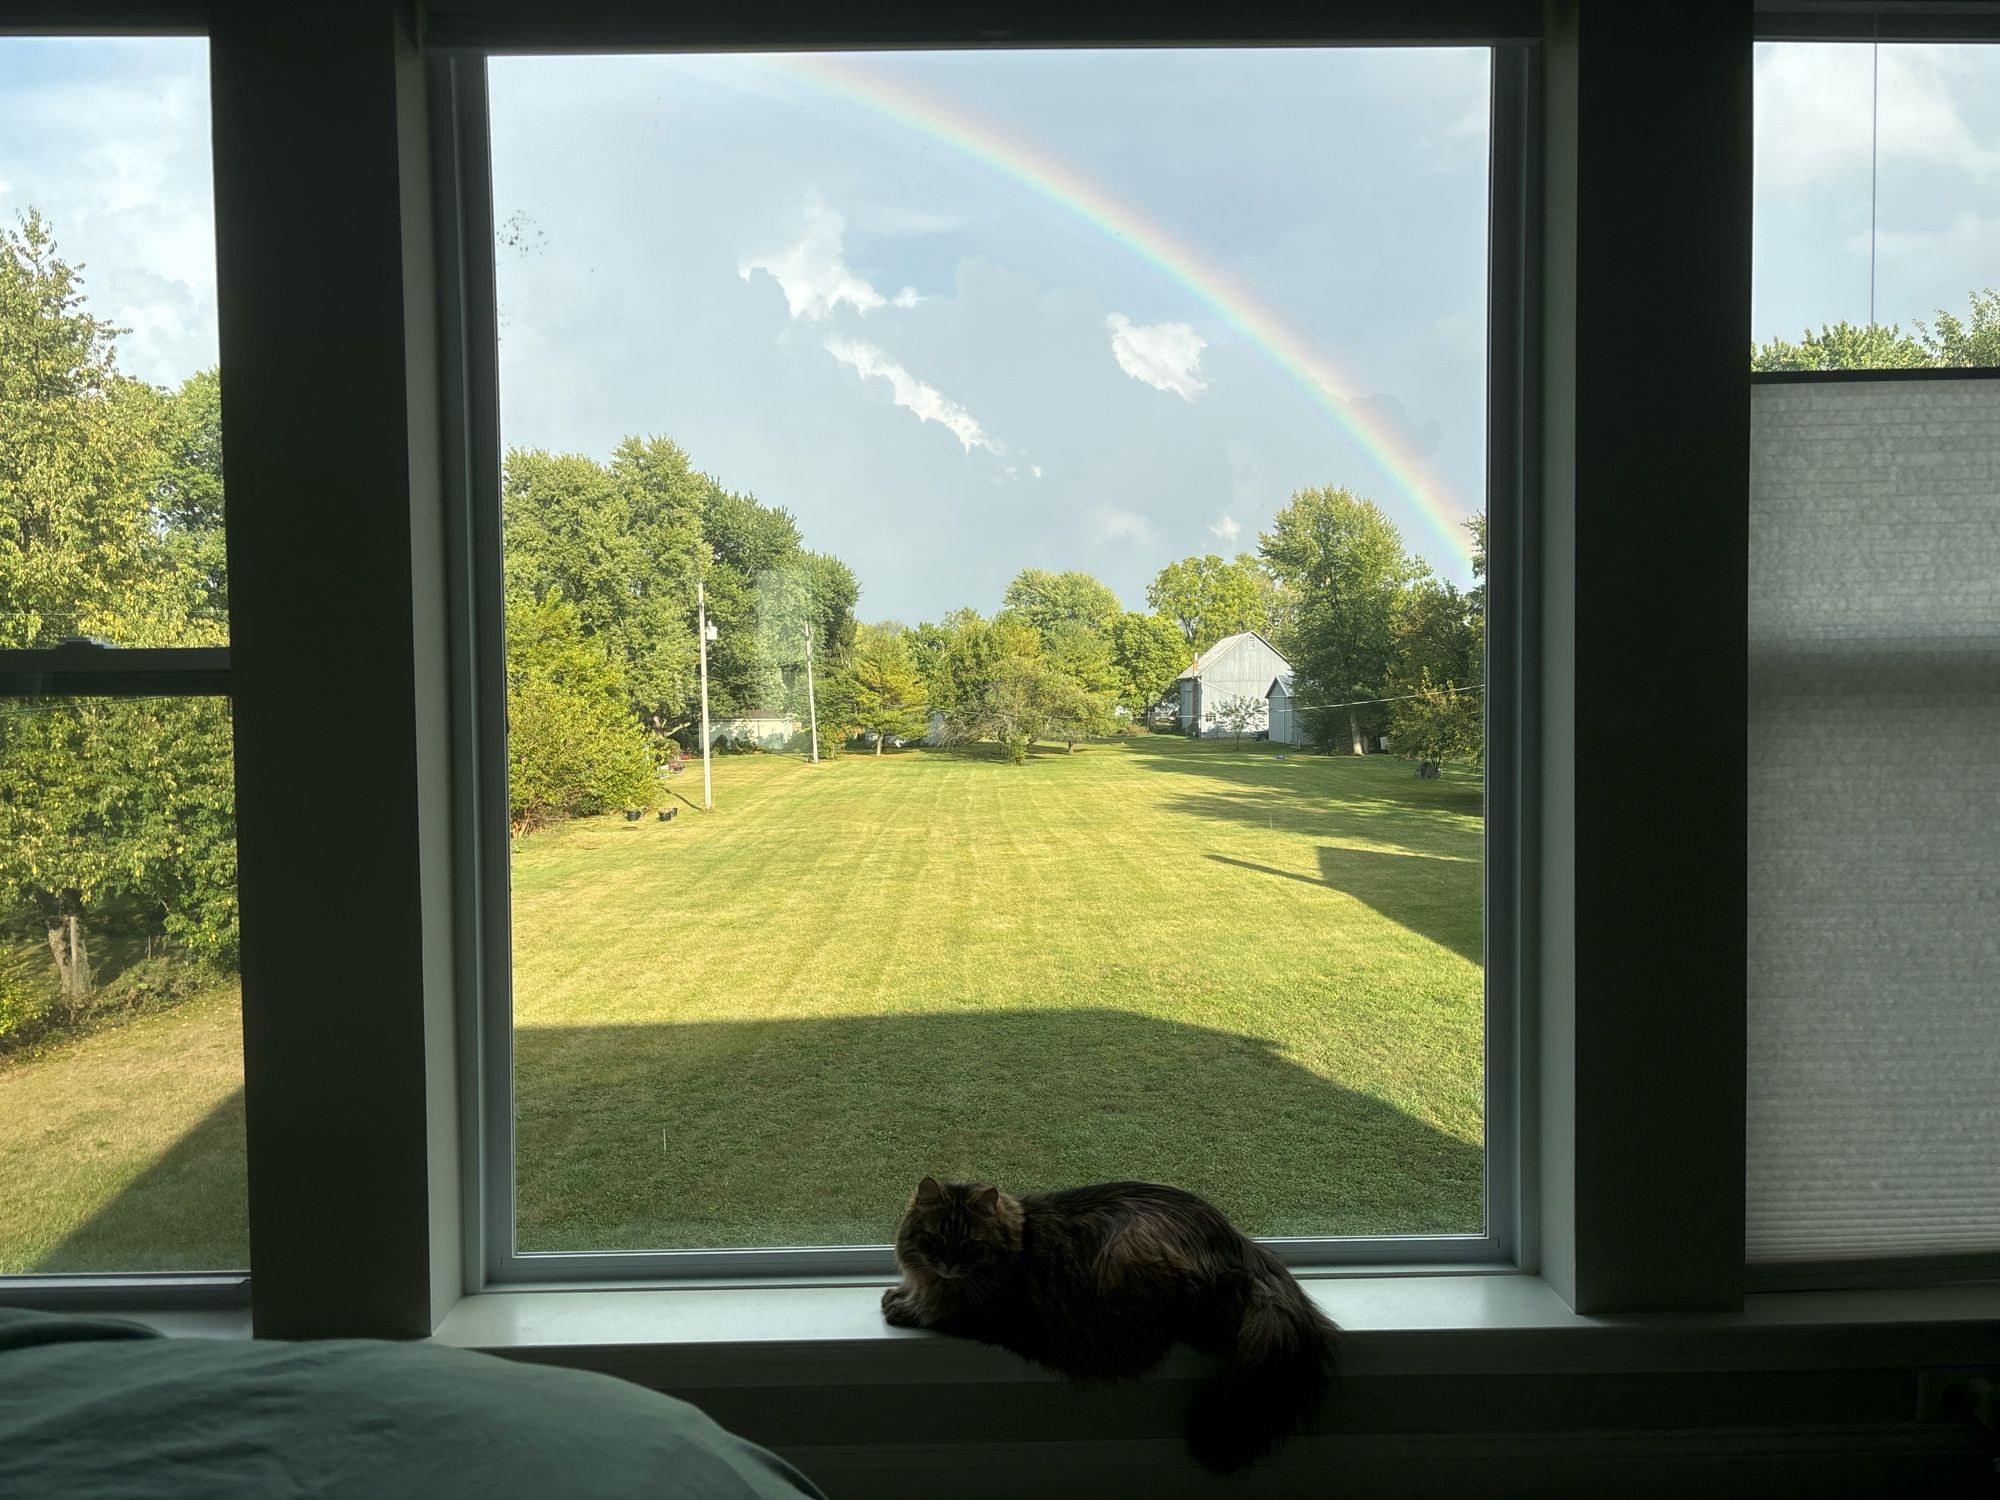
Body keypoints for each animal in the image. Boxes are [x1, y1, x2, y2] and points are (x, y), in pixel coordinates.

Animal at [884, 1184, 1336, 1472]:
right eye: (934, 1240)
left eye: (968, 1246)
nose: (948, 1264)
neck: (1017, 1241)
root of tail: (1244, 1244)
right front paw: (902, 1294)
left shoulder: (991, 1314)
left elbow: (940, 1312)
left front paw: (903, 1307)